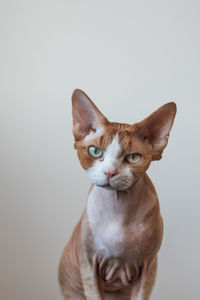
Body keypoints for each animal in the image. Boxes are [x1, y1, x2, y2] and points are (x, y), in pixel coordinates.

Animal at [58, 89, 177, 300]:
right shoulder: (89, 266)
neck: (118, 209)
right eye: (95, 151)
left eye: (133, 157)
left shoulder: (148, 267)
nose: (110, 172)